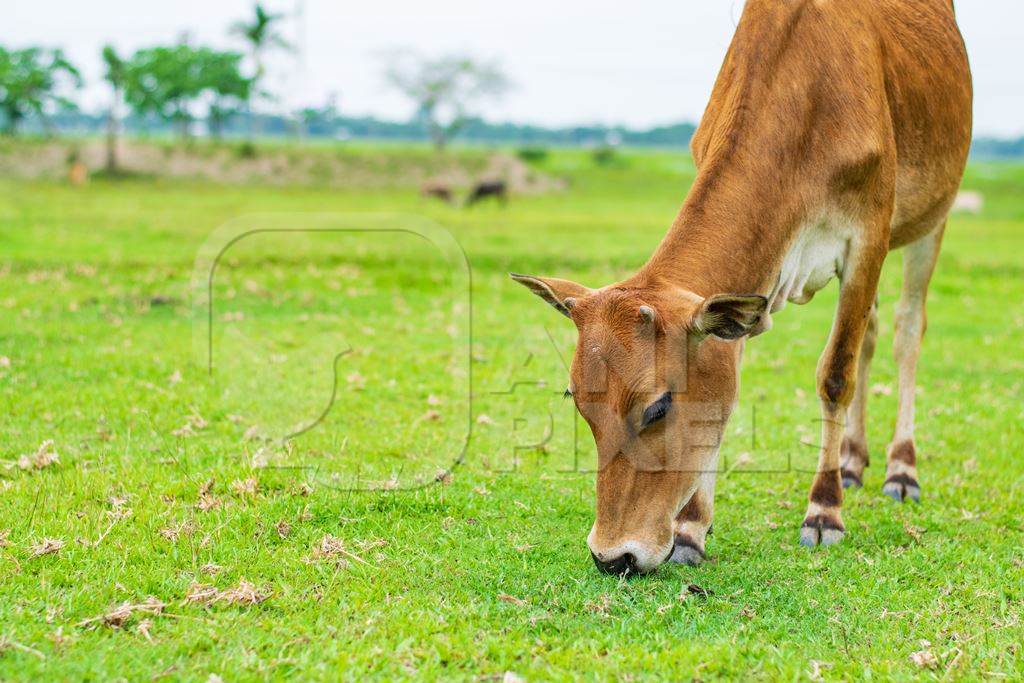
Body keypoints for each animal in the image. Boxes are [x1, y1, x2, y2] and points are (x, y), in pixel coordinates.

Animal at [509, 0, 966, 577]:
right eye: (578, 402)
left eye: (658, 406)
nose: (613, 556)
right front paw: (691, 529)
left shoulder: (867, 239)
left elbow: (835, 375)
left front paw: (824, 510)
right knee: (874, 333)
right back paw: (853, 460)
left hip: (931, 222)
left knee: (907, 331)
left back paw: (899, 469)